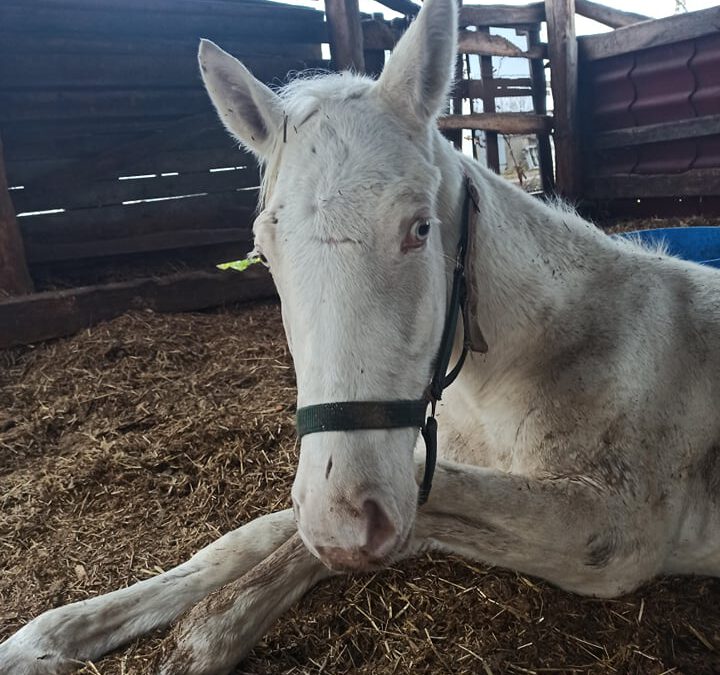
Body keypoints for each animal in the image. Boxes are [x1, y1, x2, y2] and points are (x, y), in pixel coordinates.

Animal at [1, 0, 720, 672]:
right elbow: (263, 528)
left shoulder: (611, 535)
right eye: (262, 249)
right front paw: (57, 632)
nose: (344, 521)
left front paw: (210, 630)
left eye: (421, 228)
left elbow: (422, 508)